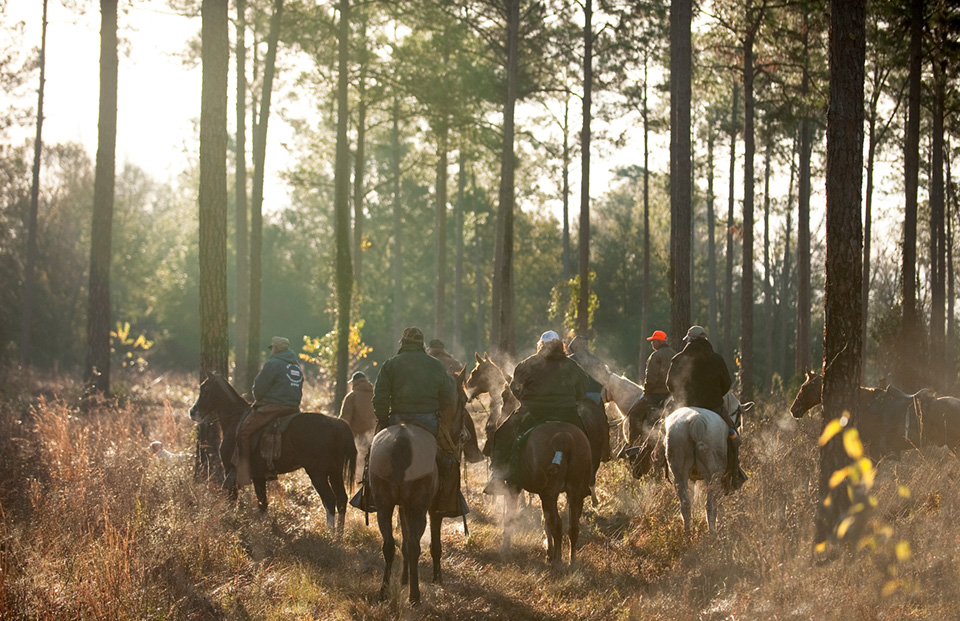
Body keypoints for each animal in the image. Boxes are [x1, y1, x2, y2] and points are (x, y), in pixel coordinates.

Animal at [188, 370, 356, 532]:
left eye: (205, 388)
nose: (192, 411)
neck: (234, 421)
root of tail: (335, 423)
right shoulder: (258, 476)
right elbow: (263, 504)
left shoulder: (230, 470)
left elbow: (233, 498)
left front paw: (231, 520)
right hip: (335, 472)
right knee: (341, 499)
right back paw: (338, 535)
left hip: (318, 473)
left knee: (330, 500)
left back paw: (329, 534)